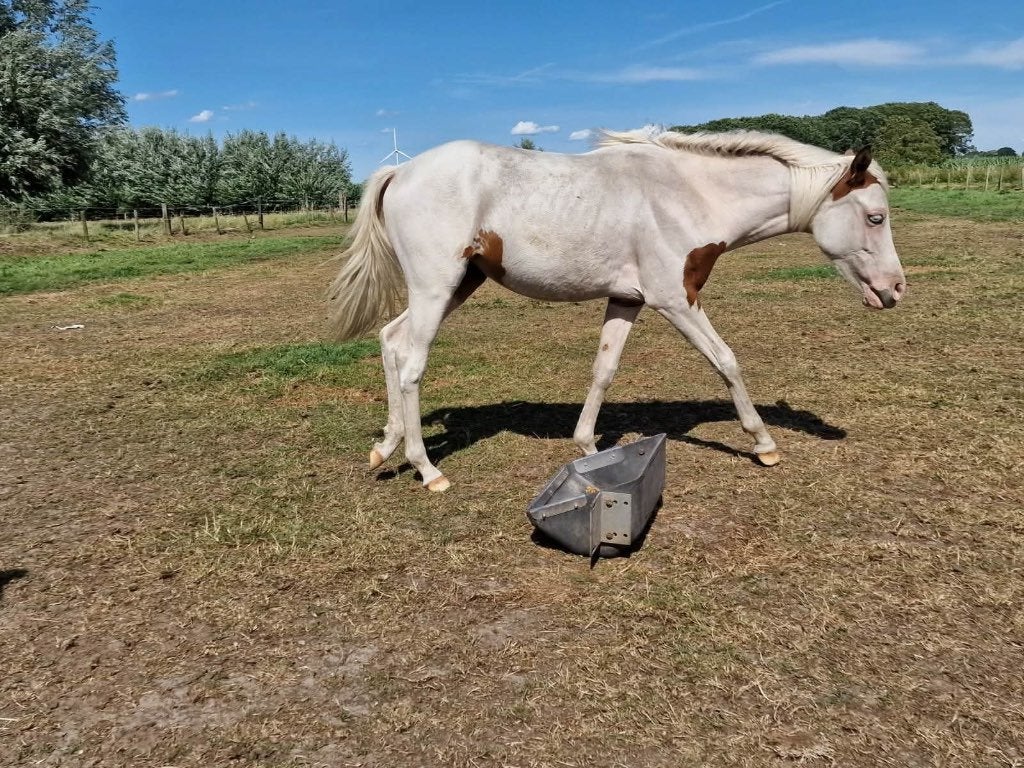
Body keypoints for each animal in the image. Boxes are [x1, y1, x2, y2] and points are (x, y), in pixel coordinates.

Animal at [328, 130, 906, 492]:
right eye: (875, 218)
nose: (895, 290)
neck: (687, 193)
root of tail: (401, 172)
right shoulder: (675, 300)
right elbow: (726, 361)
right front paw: (763, 442)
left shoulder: (628, 300)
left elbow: (604, 369)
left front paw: (585, 446)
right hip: (436, 287)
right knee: (412, 363)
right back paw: (427, 470)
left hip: (456, 285)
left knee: (391, 340)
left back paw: (385, 446)